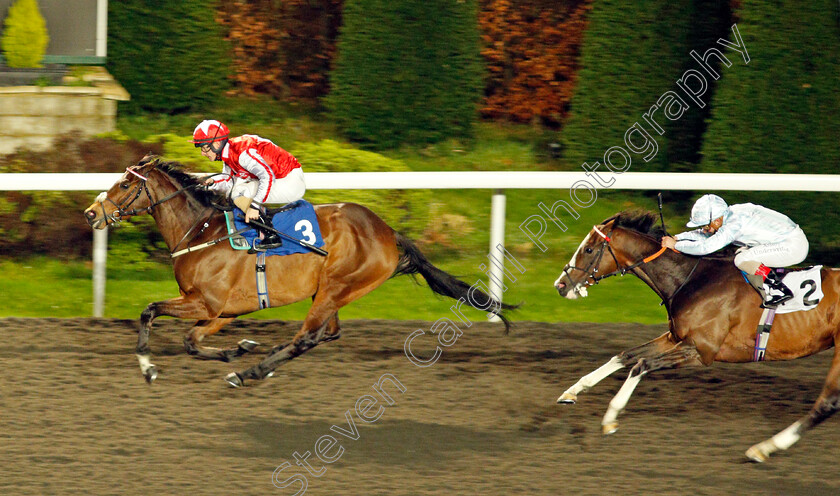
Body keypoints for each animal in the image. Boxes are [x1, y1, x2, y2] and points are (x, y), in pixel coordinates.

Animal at [87, 157, 520, 390]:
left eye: (124, 184)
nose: (92, 213)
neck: (202, 232)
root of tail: (387, 233)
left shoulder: (205, 302)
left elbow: (149, 310)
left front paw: (148, 367)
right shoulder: (223, 310)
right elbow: (191, 341)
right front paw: (237, 347)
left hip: (335, 287)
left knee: (308, 337)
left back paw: (250, 373)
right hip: (331, 292)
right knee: (326, 333)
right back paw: (258, 360)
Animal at [552, 211, 840, 464]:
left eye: (589, 250)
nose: (560, 285)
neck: (691, 280)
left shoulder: (702, 351)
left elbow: (642, 365)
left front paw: (610, 417)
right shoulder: (675, 337)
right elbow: (626, 355)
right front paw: (571, 392)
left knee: (828, 402)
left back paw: (763, 448)